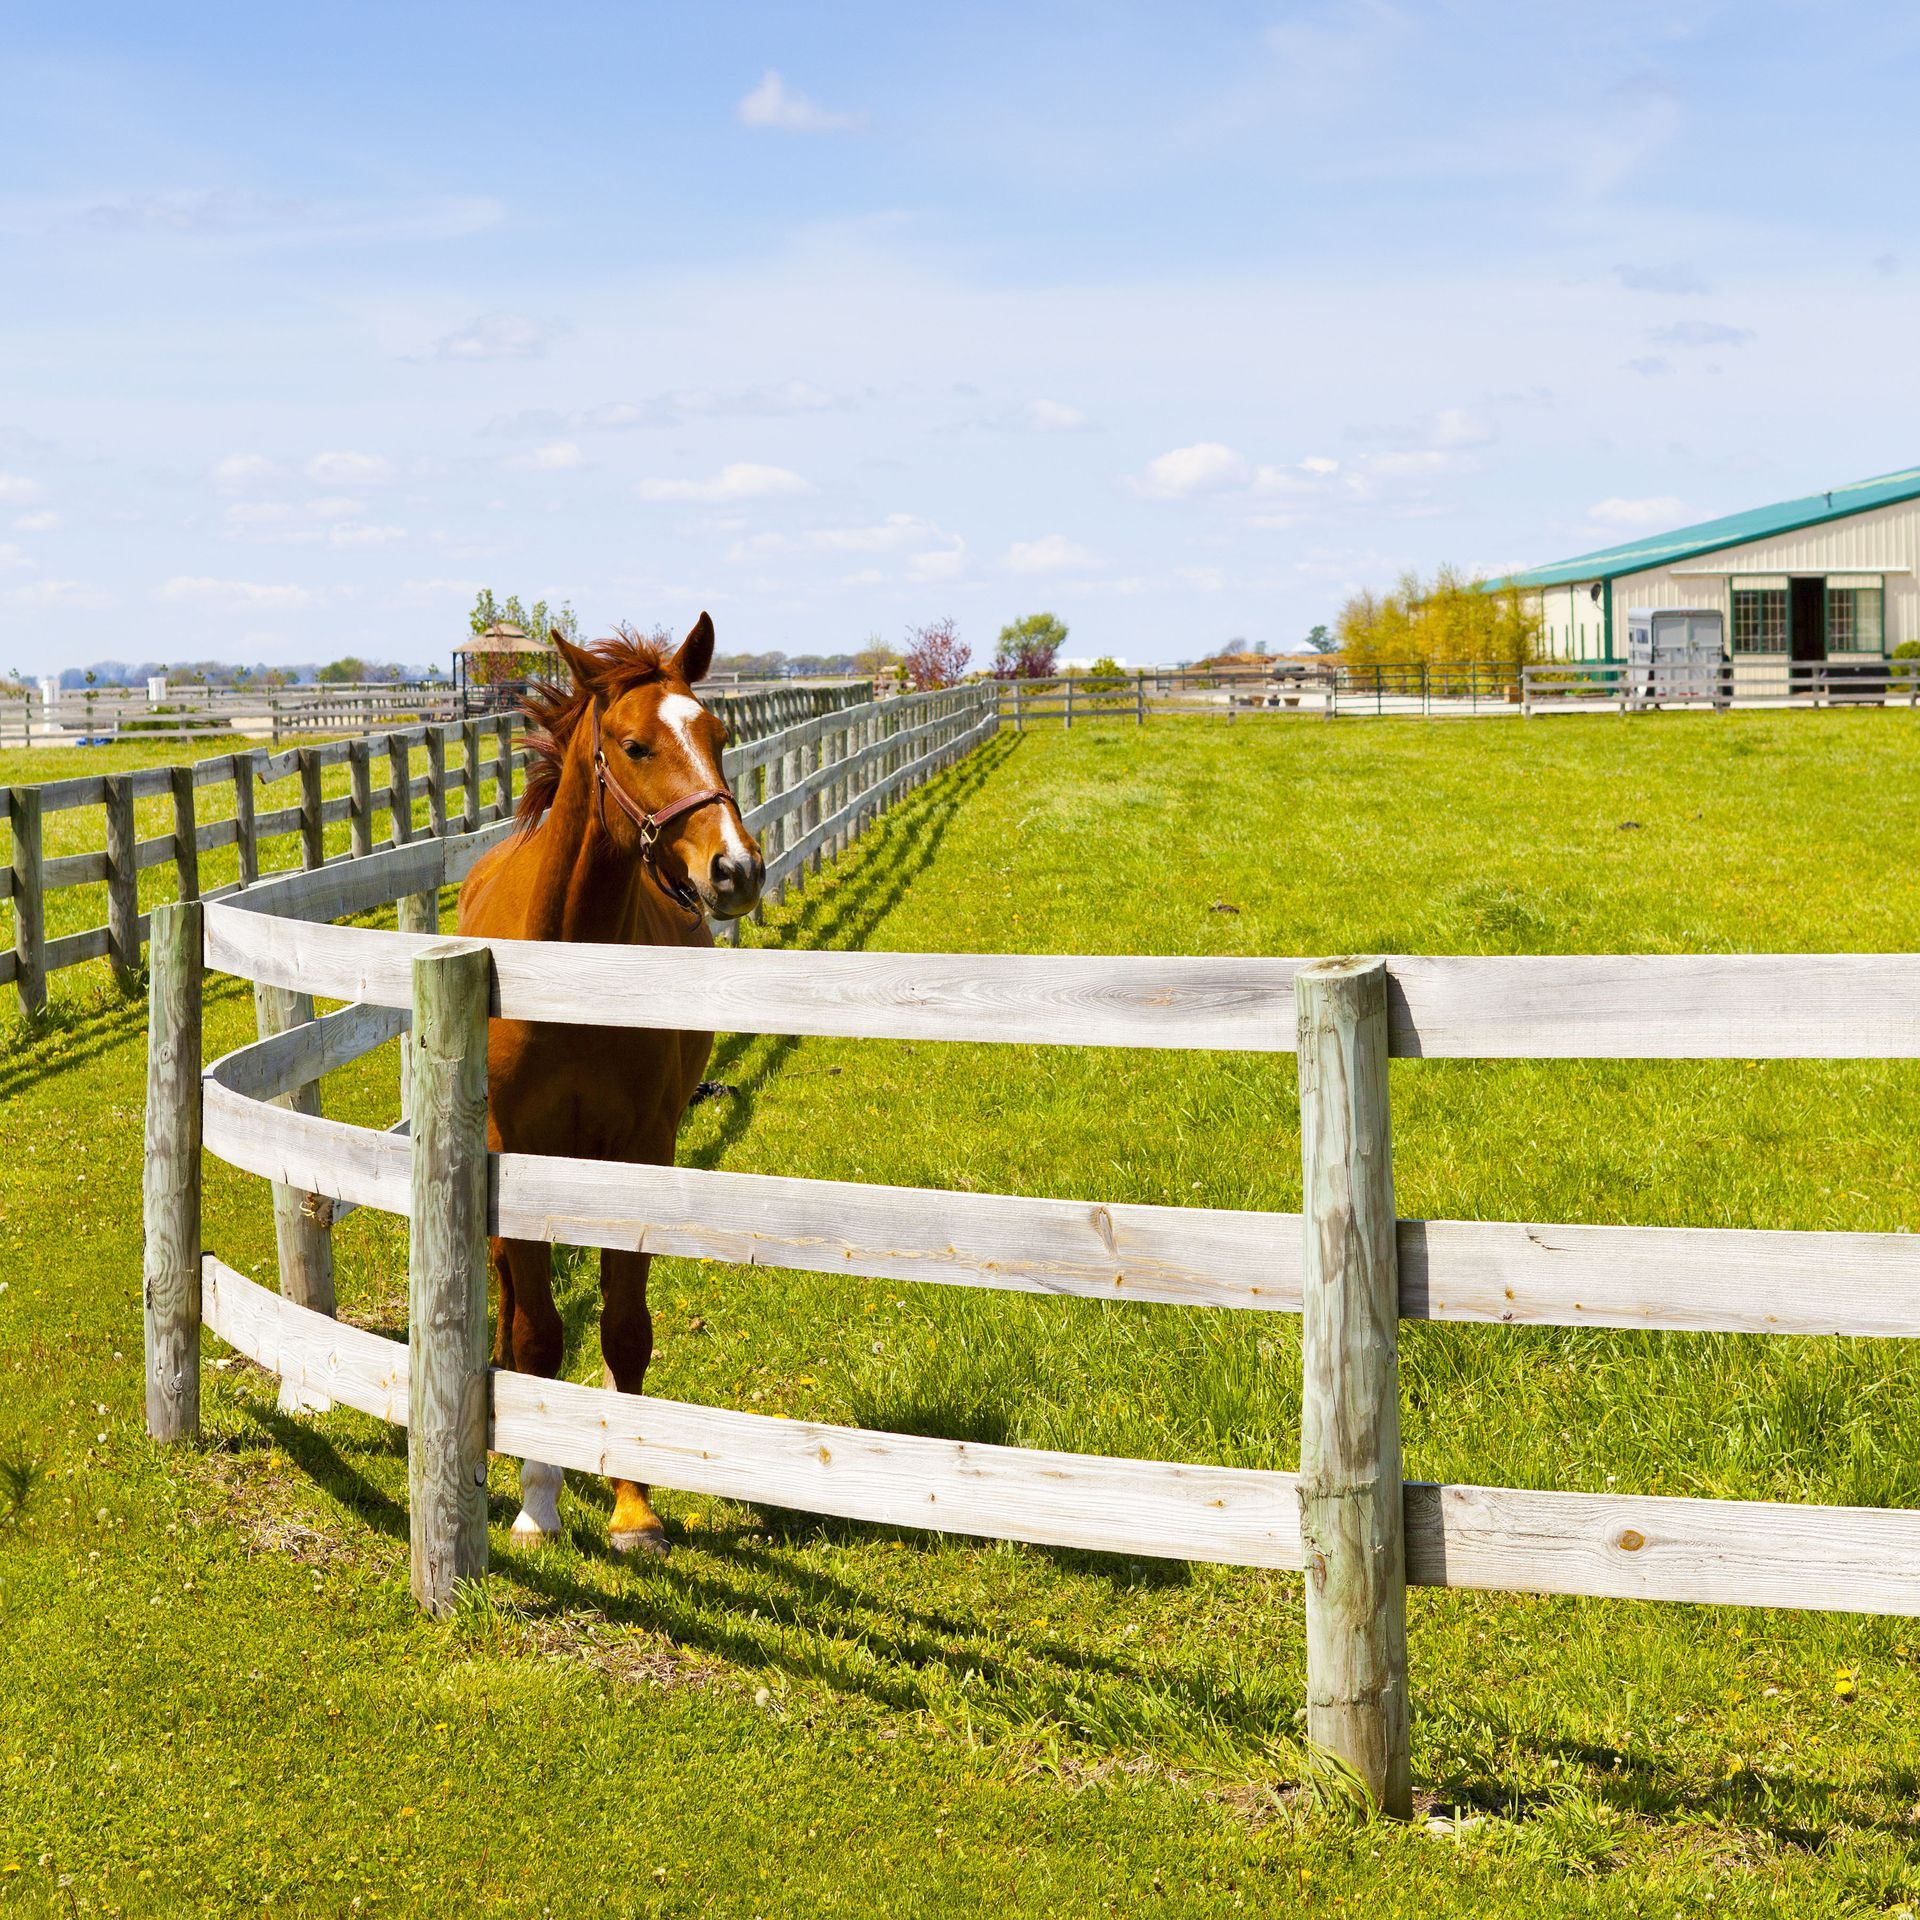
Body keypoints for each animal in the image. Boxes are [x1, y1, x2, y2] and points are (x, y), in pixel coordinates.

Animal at [455, 614, 764, 1556]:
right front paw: (538, 1502)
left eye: (717, 736)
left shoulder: (640, 1151)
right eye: (635, 746)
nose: (736, 870)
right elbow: (536, 1335)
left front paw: (633, 1508)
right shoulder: (515, 1149)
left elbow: (625, 1333)